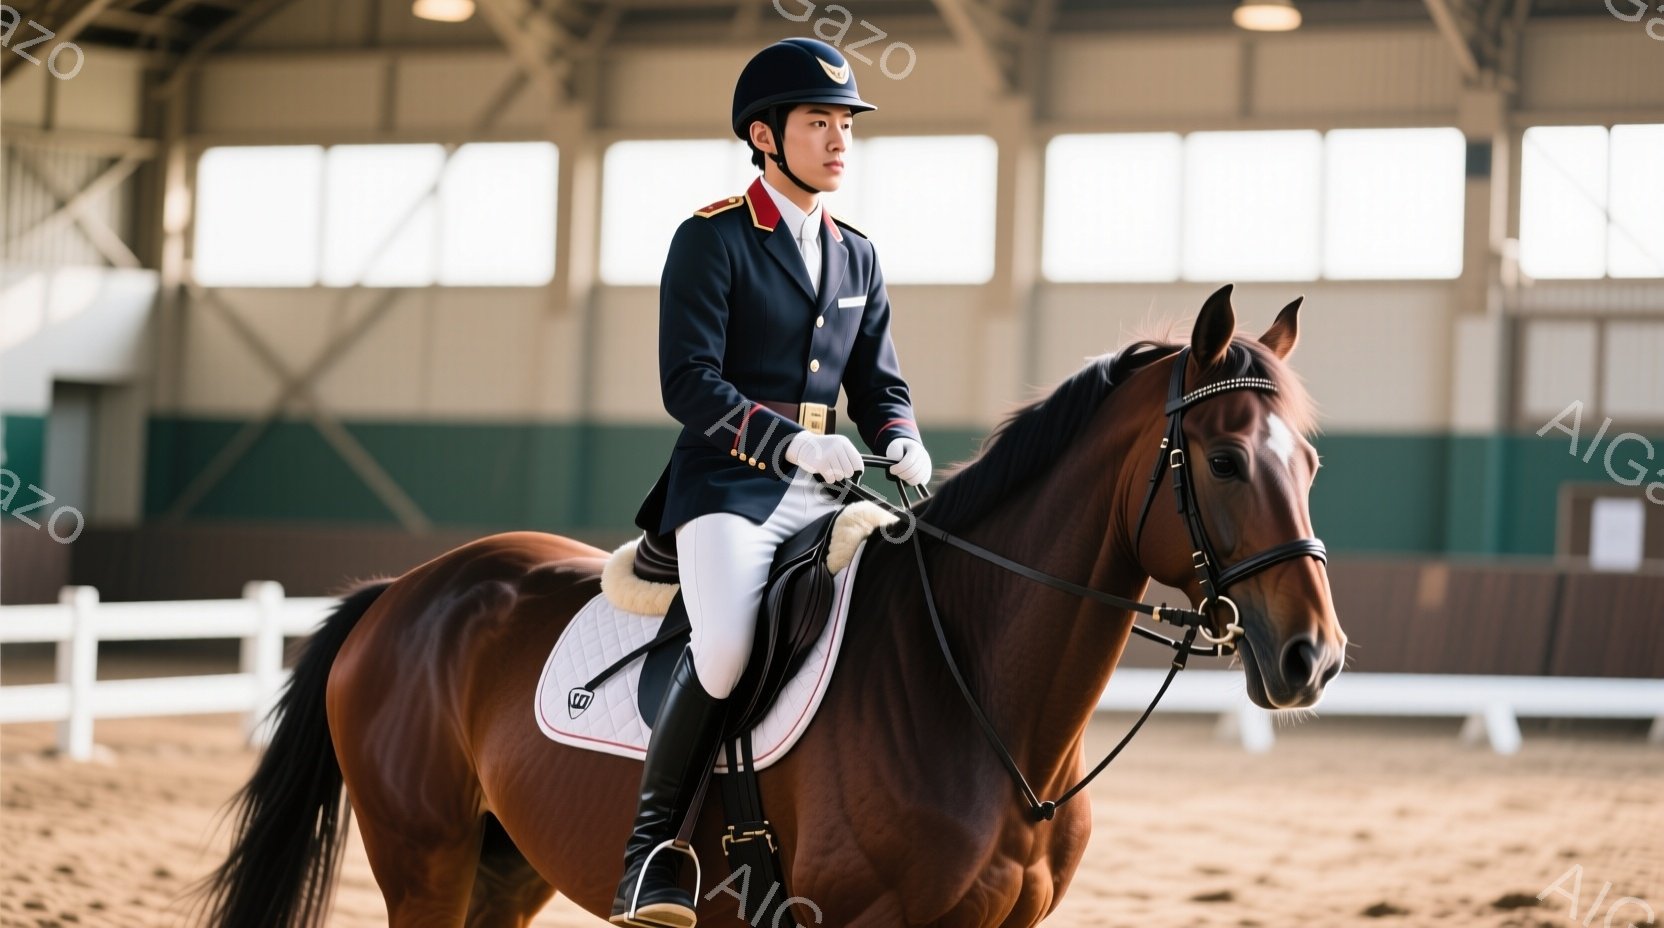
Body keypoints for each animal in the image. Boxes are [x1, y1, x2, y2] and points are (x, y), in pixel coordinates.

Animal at [195, 283, 1346, 927]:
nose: (1314, 659)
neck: (977, 697)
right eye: (1226, 459)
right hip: (423, 860)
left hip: (502, 868)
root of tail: (405, 593)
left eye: (1310, 463)